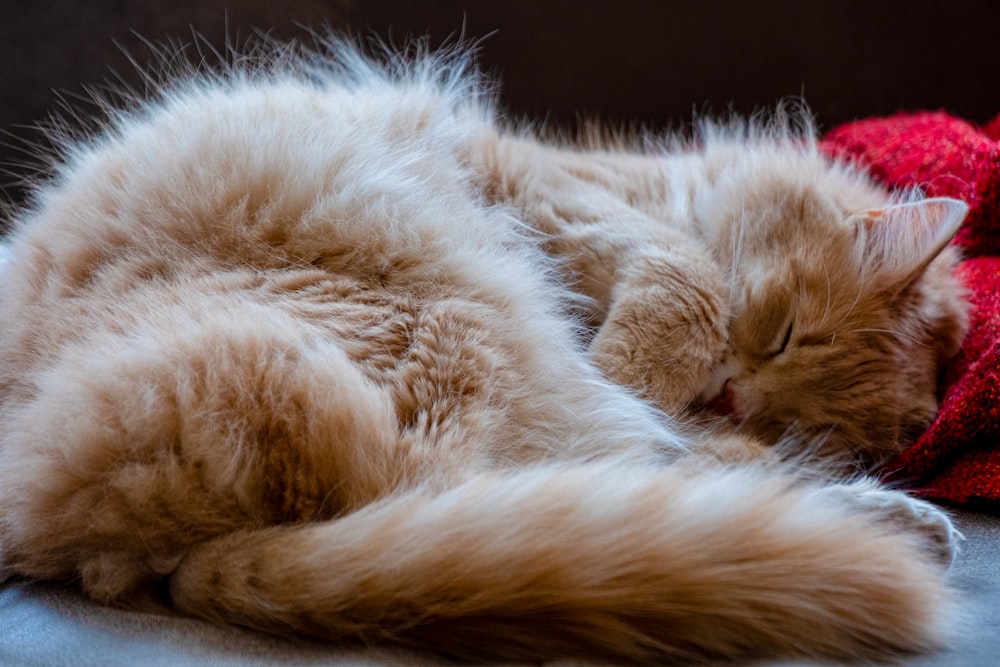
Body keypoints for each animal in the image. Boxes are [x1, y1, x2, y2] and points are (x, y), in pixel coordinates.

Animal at [0, 39, 972, 664]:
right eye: (784, 333)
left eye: (797, 414)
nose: (736, 402)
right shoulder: (552, 191)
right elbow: (683, 286)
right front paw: (645, 366)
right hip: (452, 319)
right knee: (556, 477)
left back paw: (902, 526)